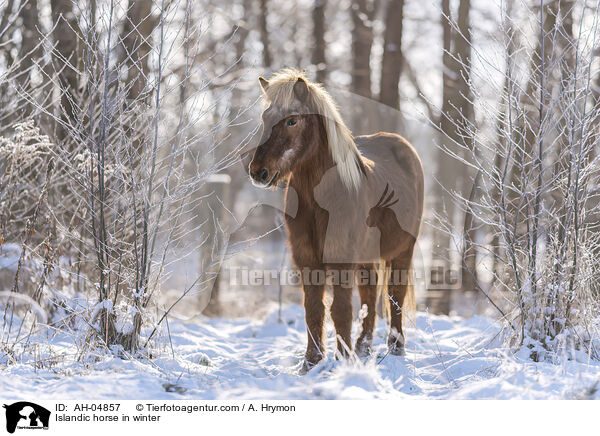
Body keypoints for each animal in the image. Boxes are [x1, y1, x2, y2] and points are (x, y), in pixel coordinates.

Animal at [247, 69, 422, 372]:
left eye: (292, 120)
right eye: (265, 118)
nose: (258, 171)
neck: (322, 199)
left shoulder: (341, 258)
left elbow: (340, 309)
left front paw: (343, 359)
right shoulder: (306, 258)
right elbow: (314, 309)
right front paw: (311, 361)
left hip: (402, 251)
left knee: (394, 296)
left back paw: (395, 347)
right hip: (367, 257)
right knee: (370, 294)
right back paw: (364, 346)